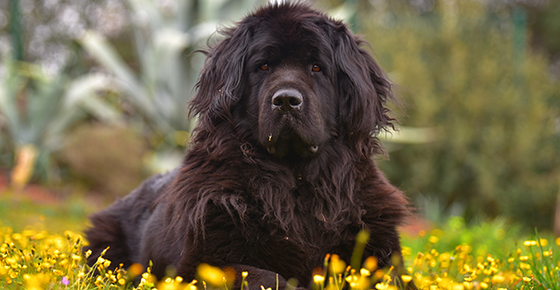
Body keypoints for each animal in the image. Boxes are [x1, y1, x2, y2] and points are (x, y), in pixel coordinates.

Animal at [85, 2, 414, 290]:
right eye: (263, 66)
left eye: (317, 67)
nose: (286, 100)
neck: (296, 183)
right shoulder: (200, 261)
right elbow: (267, 277)